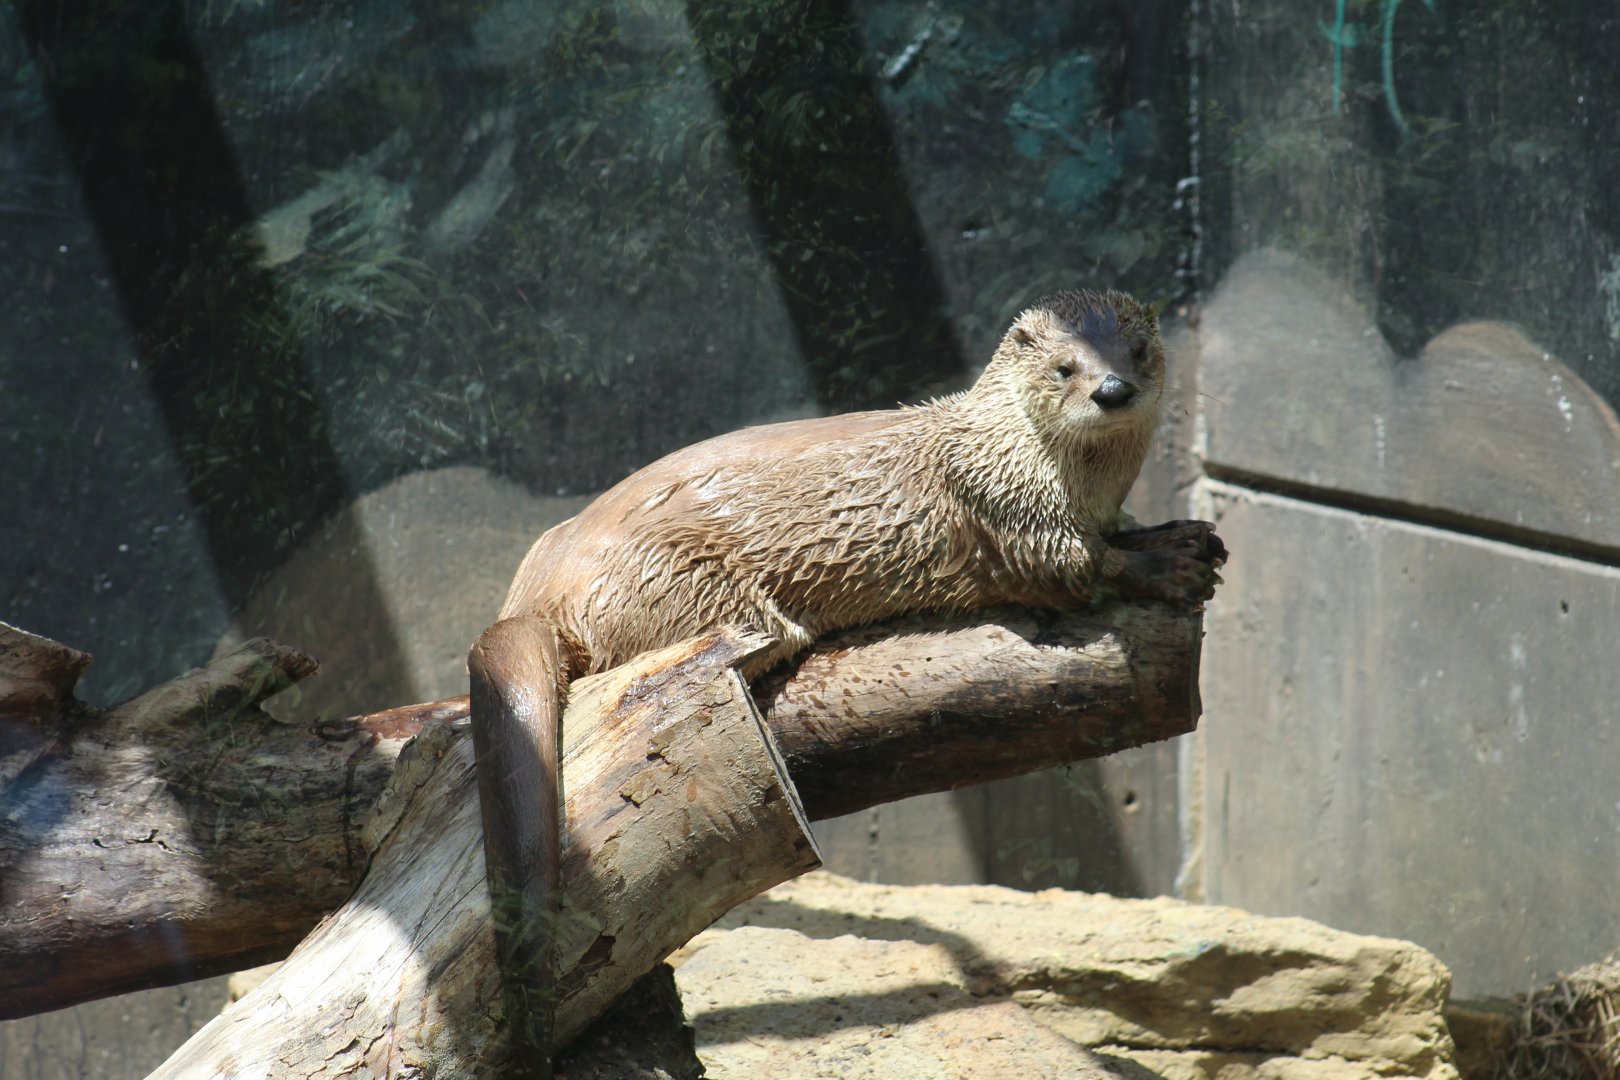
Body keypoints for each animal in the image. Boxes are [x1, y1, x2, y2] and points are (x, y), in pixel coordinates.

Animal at [470, 290, 1224, 1070]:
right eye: (1065, 366)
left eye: (1137, 351)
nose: (1113, 389)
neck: (1046, 469)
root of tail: (539, 590)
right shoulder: (1012, 515)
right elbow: (1078, 569)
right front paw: (1167, 566)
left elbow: (1117, 534)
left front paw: (1177, 533)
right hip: (679, 583)